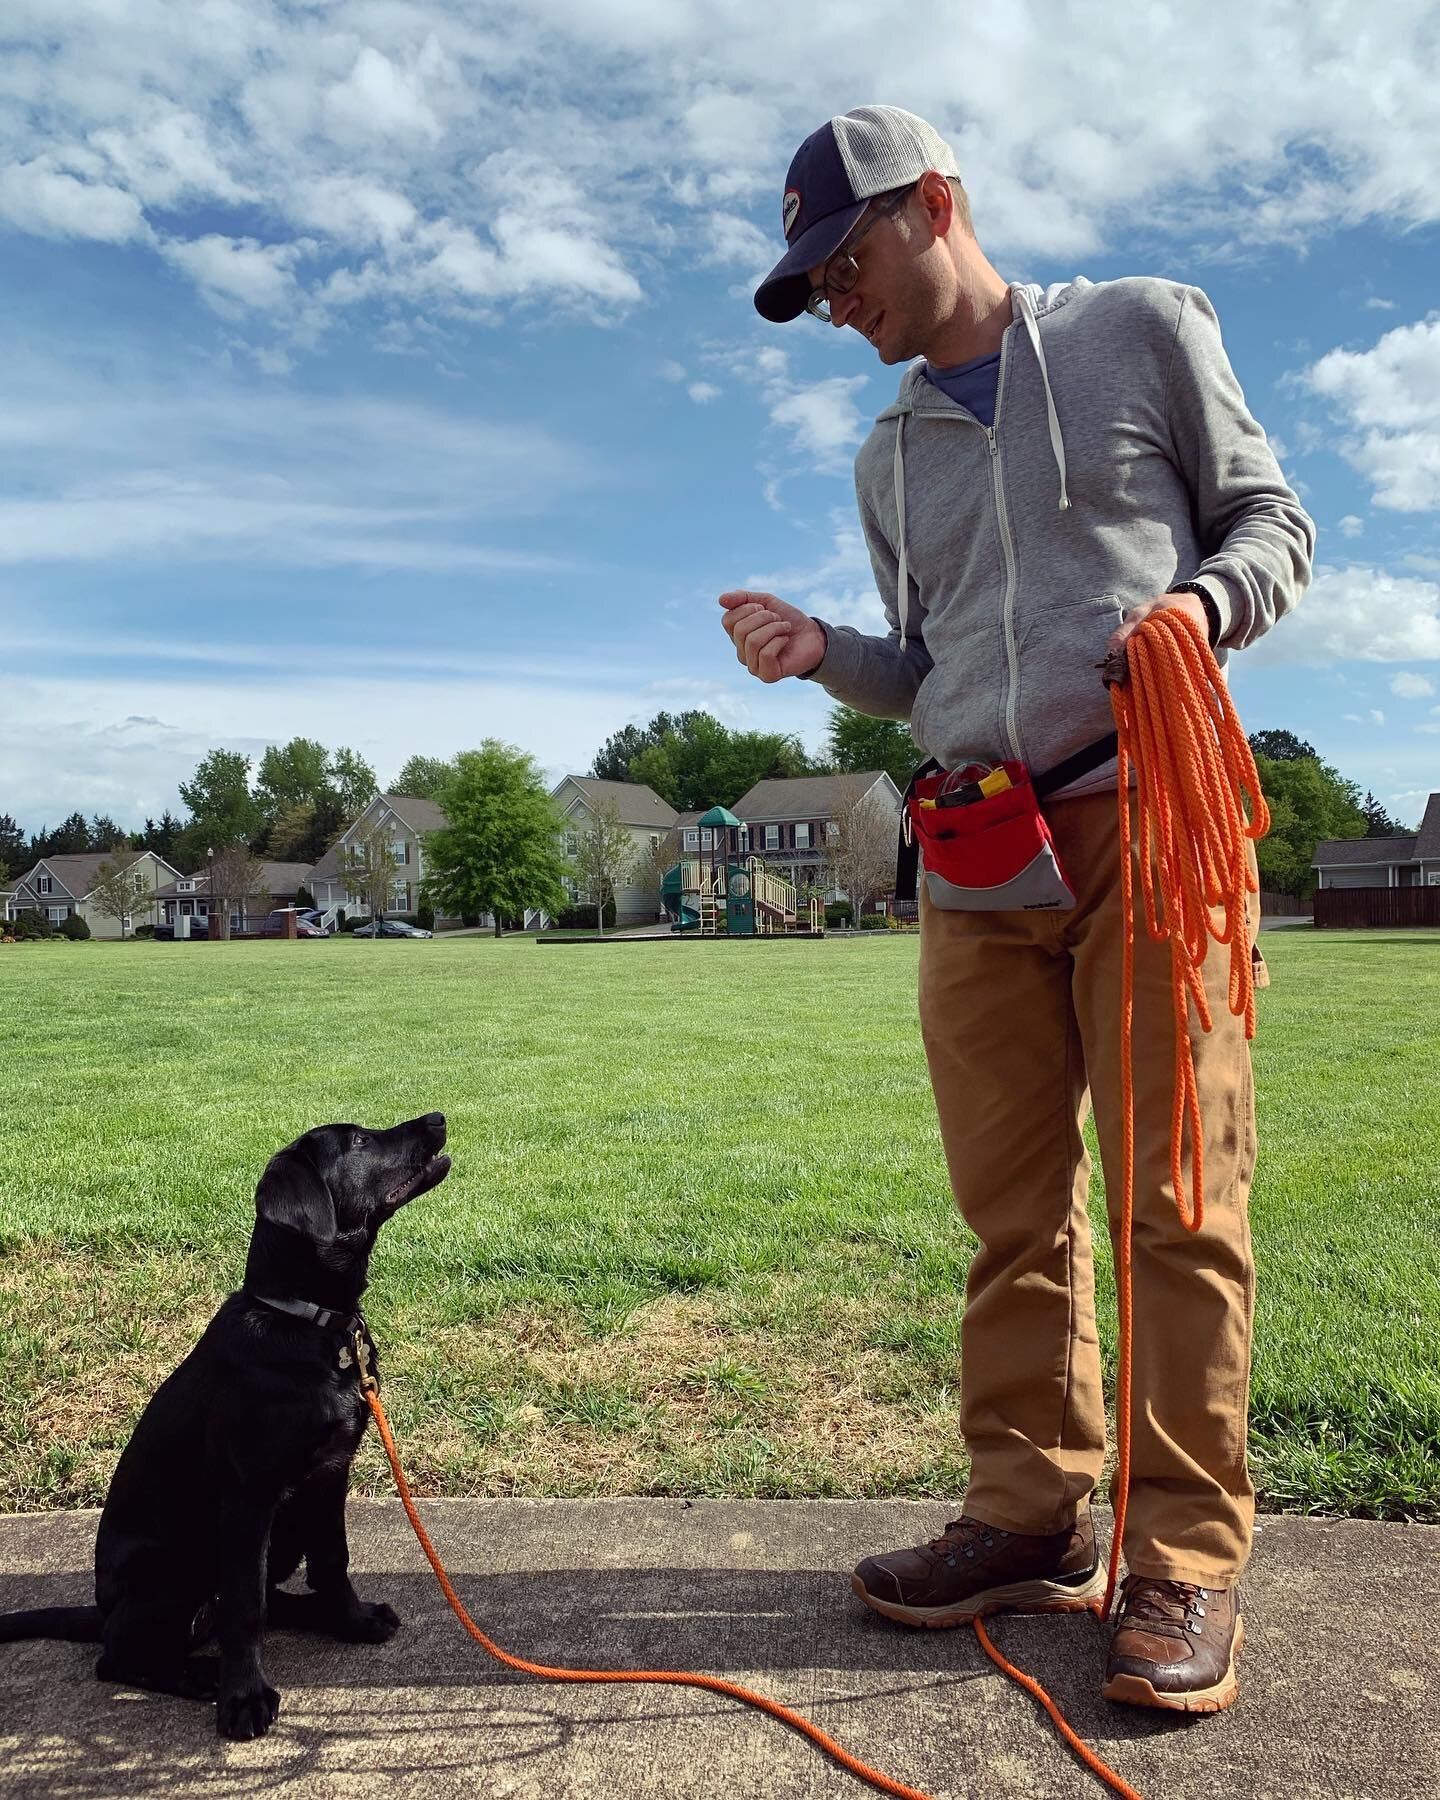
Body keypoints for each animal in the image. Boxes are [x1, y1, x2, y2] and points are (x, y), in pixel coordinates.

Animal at [0, 1108, 450, 1742]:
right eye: (359, 1141)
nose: (437, 1117)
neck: (308, 1323)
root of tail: (102, 1607)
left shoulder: (328, 1477)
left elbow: (331, 1562)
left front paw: (352, 1621)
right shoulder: (247, 1499)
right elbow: (245, 1609)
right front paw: (244, 1698)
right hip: (173, 1569)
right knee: (119, 1656)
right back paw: (201, 1676)